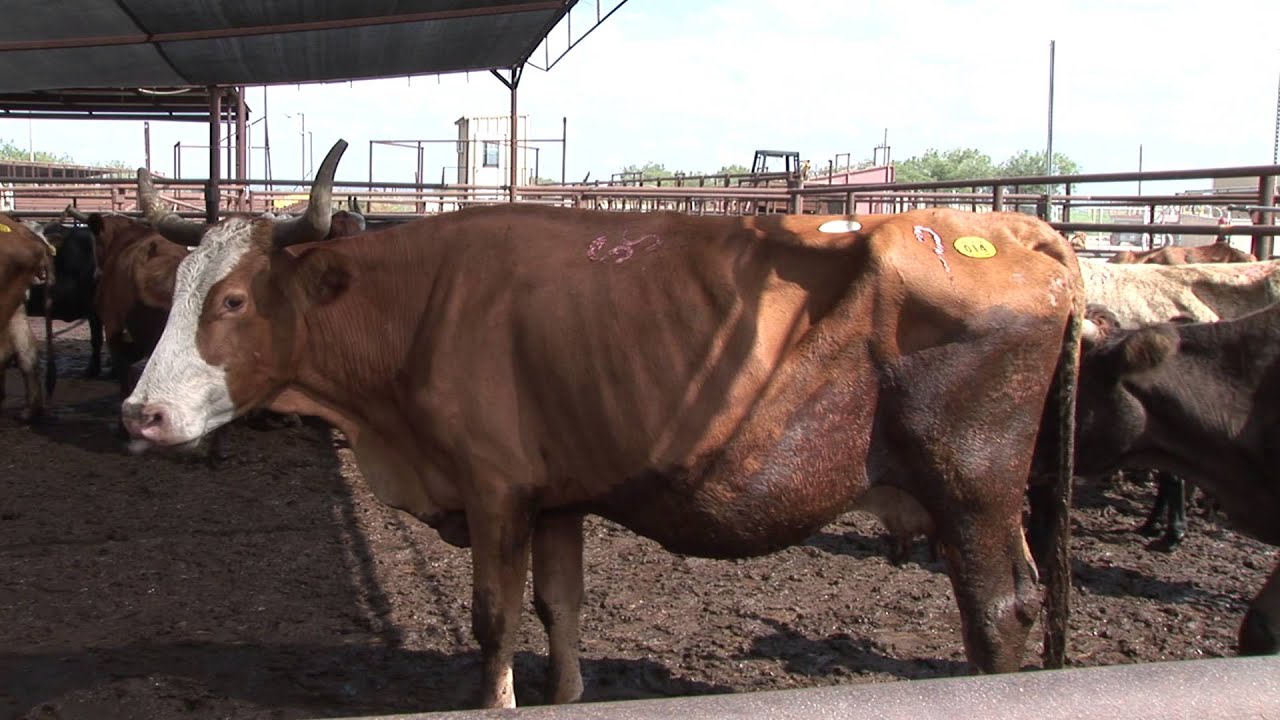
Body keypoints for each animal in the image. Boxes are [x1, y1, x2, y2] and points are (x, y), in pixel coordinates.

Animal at [119, 140, 1083, 709]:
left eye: (234, 300)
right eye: (176, 288)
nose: (142, 413)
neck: (424, 304)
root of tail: (1017, 229)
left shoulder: (495, 488)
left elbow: (495, 618)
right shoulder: (556, 497)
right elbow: (560, 606)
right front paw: (567, 691)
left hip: (970, 488)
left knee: (997, 612)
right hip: (998, 501)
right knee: (1026, 599)